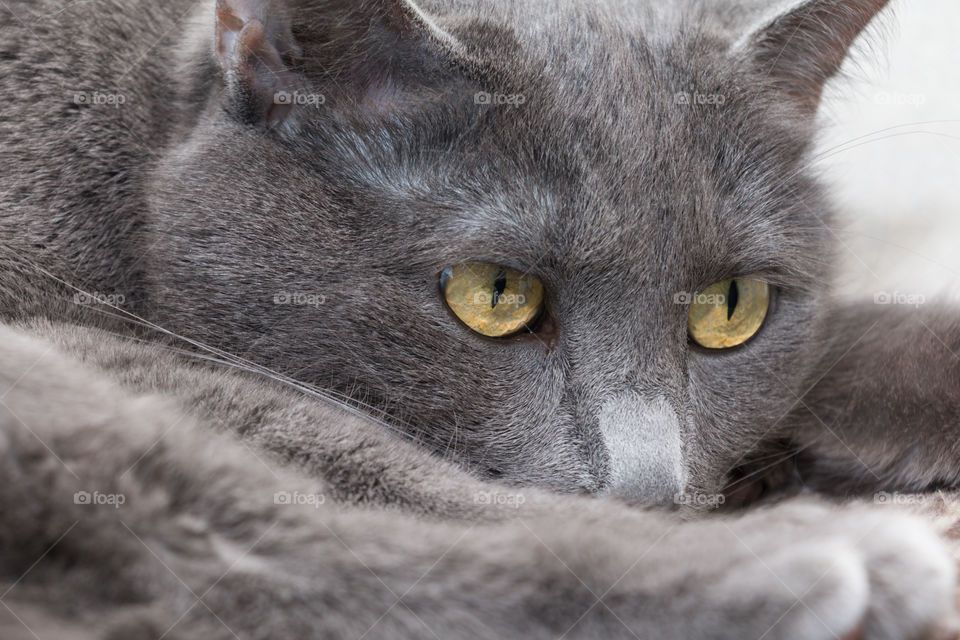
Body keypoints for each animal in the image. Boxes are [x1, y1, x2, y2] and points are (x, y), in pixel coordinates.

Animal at [1, 0, 960, 636]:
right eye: (495, 295)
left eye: (733, 309)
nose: (648, 484)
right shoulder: (66, 329)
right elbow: (355, 457)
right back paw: (836, 569)